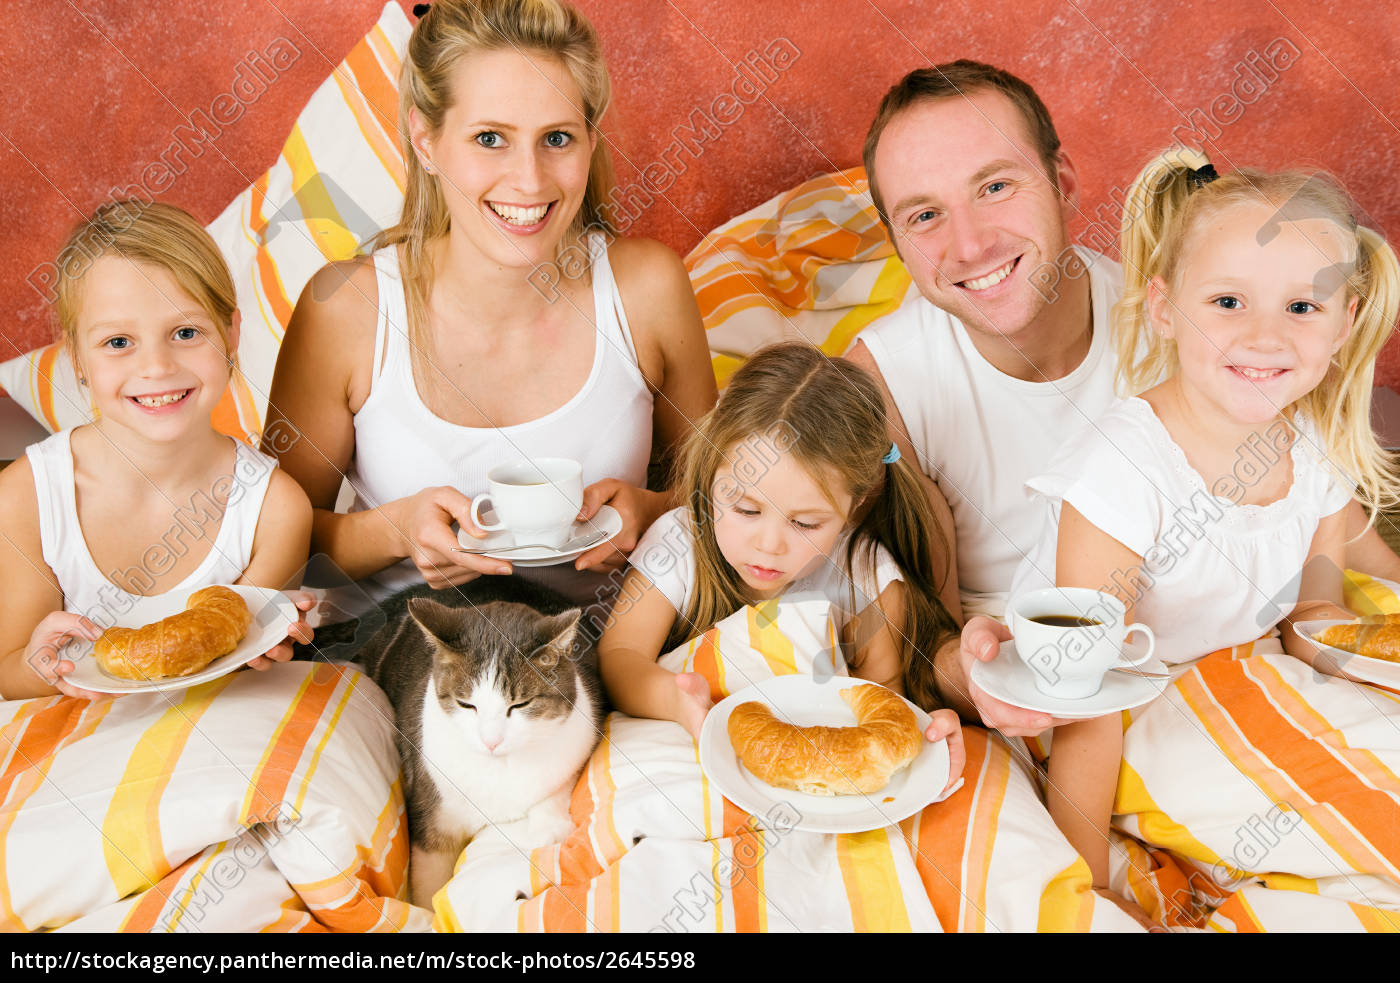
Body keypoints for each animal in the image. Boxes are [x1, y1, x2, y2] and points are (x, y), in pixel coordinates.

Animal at [355, 582, 602, 912]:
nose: (491, 741)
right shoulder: (433, 812)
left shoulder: (582, 732)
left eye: (520, 704)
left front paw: (549, 828)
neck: (499, 769)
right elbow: (428, 881)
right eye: (466, 704)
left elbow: (558, 785)